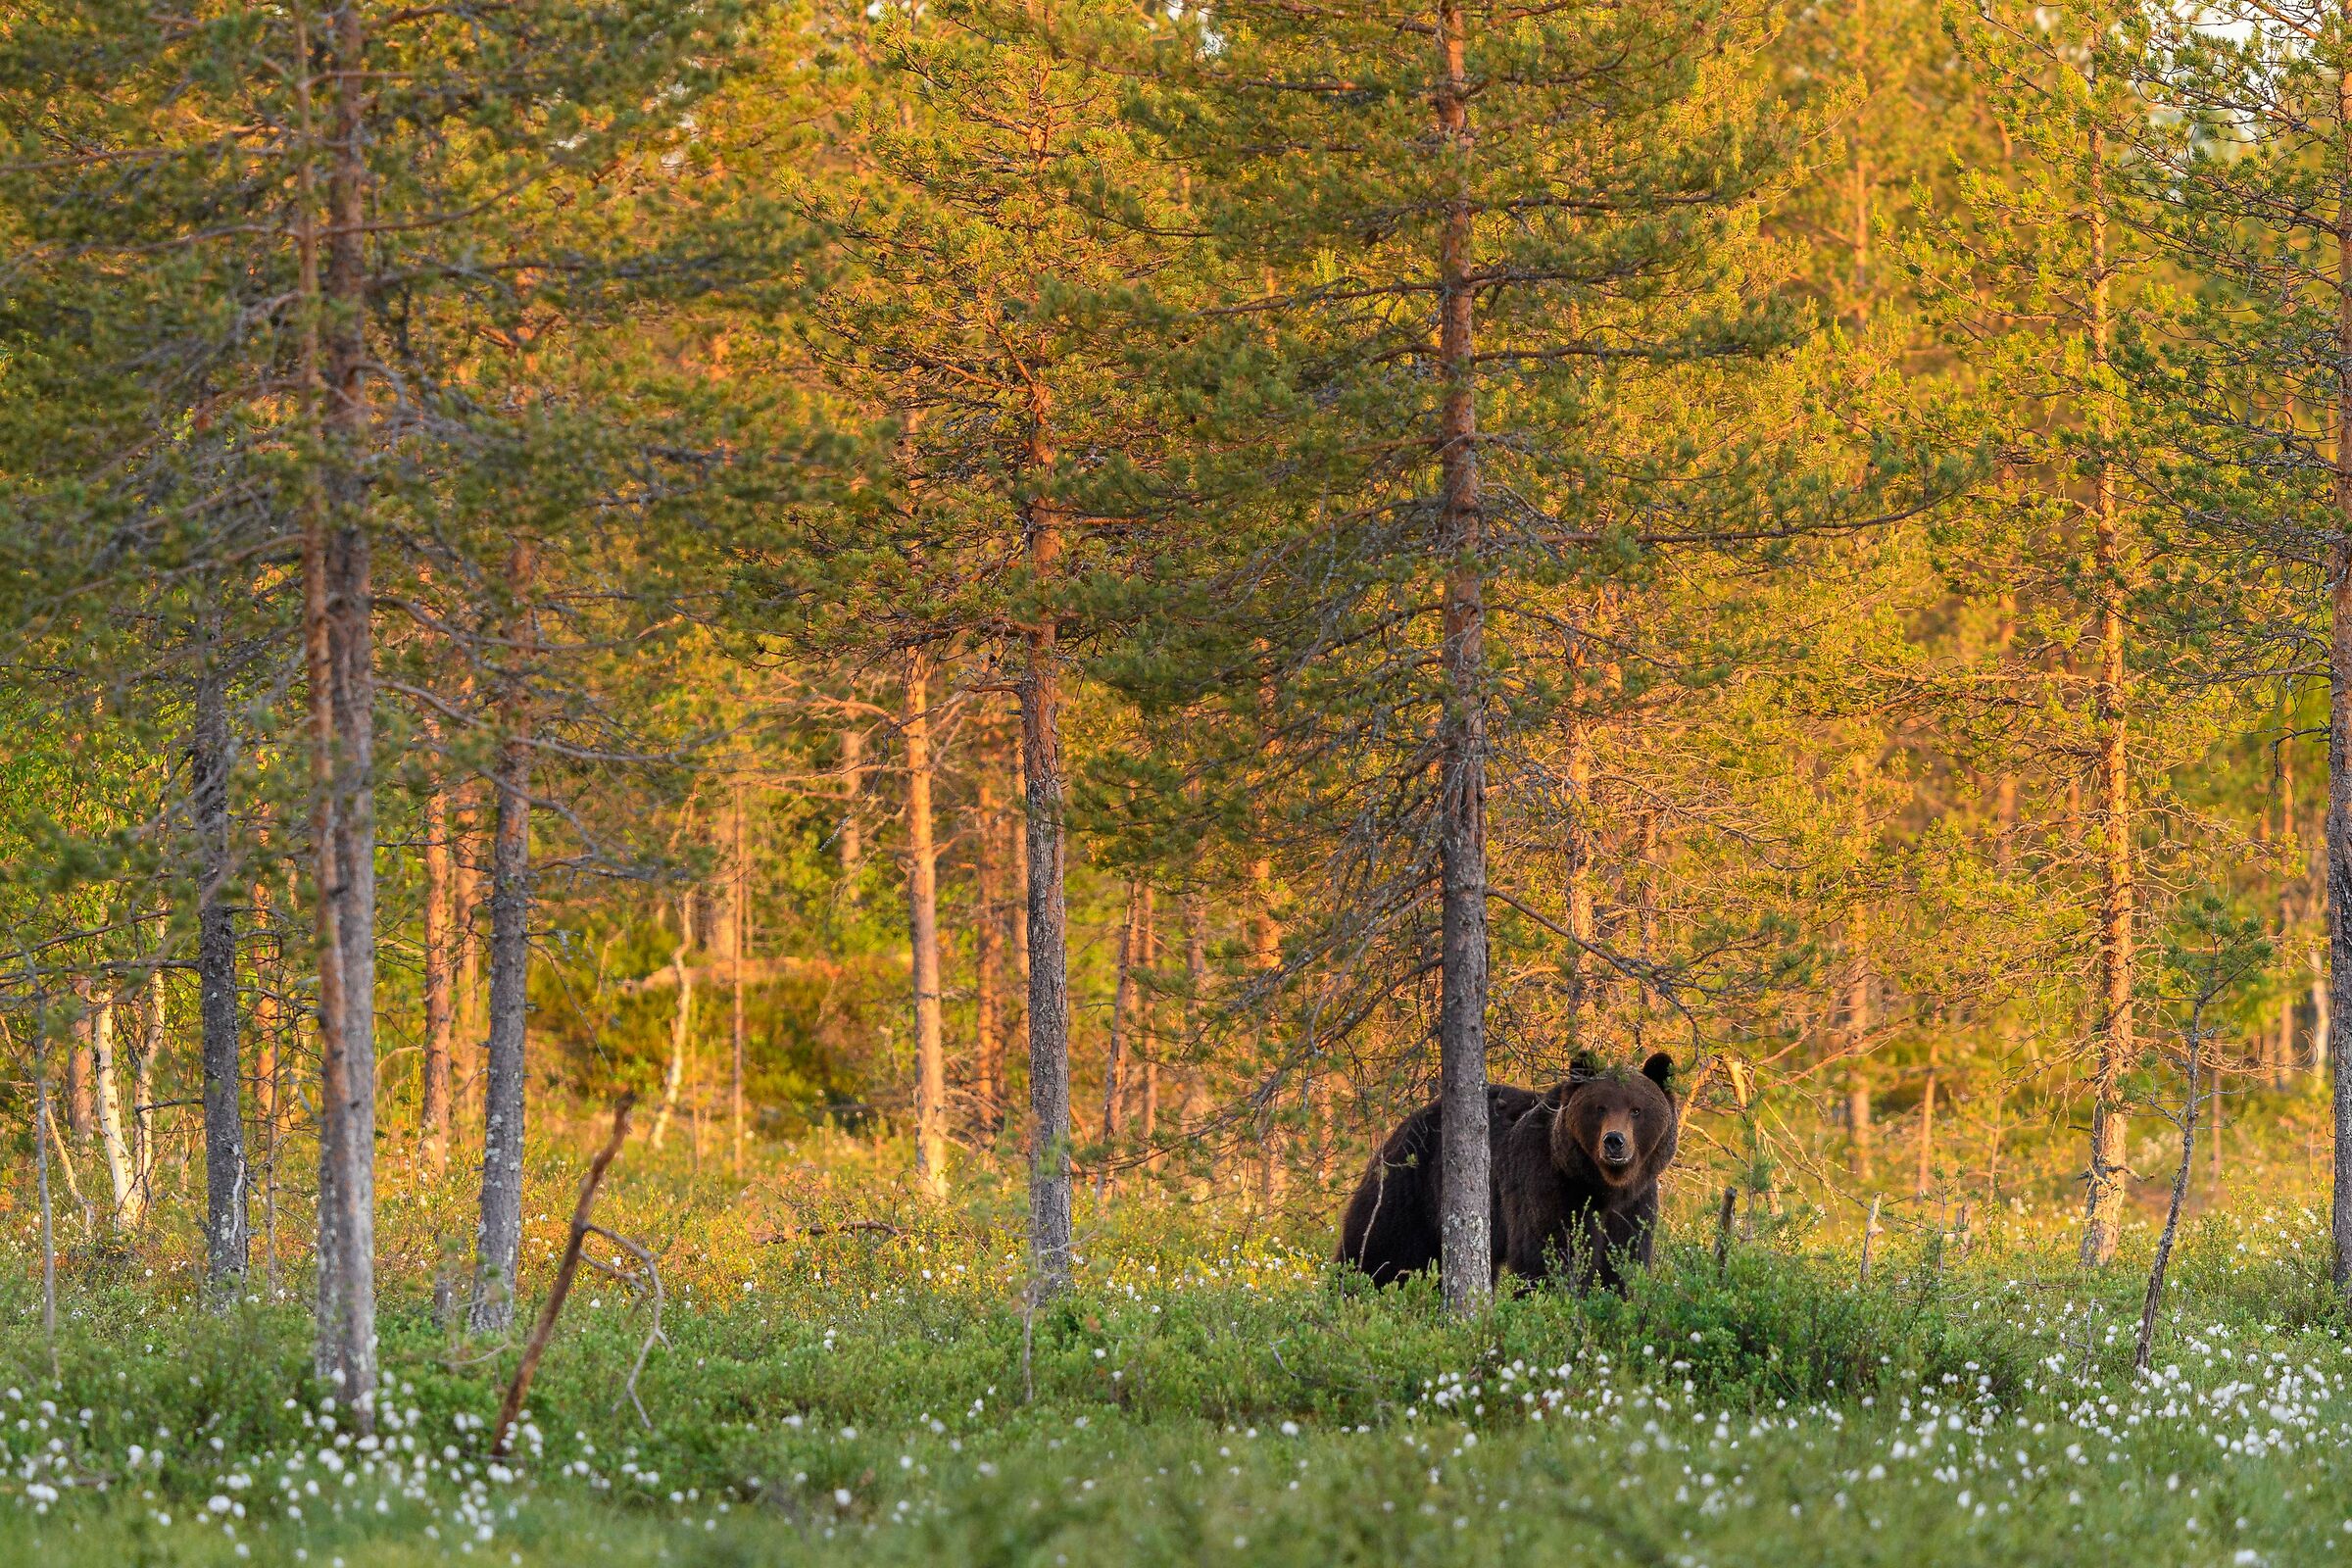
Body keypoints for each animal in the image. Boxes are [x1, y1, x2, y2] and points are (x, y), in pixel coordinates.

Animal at [1496, 1051, 1678, 1291]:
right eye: (1600, 1107)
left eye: (1636, 1110)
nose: (1614, 1140)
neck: (1606, 1187)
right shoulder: (1551, 1186)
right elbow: (1548, 1258)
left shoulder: (1635, 1204)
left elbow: (1627, 1260)